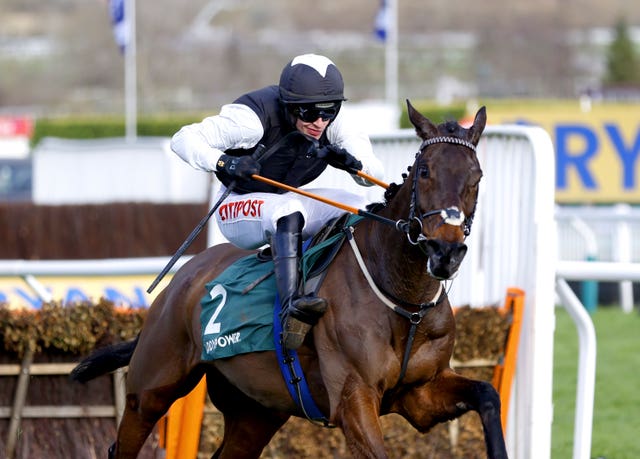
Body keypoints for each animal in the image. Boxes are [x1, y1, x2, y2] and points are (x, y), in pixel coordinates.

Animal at [71, 101, 510, 459]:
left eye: (477, 176)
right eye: (424, 170)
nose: (445, 251)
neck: (403, 300)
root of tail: (182, 280)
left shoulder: (421, 393)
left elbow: (487, 394)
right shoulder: (352, 400)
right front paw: (240, 165)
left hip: (256, 411)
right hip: (151, 389)